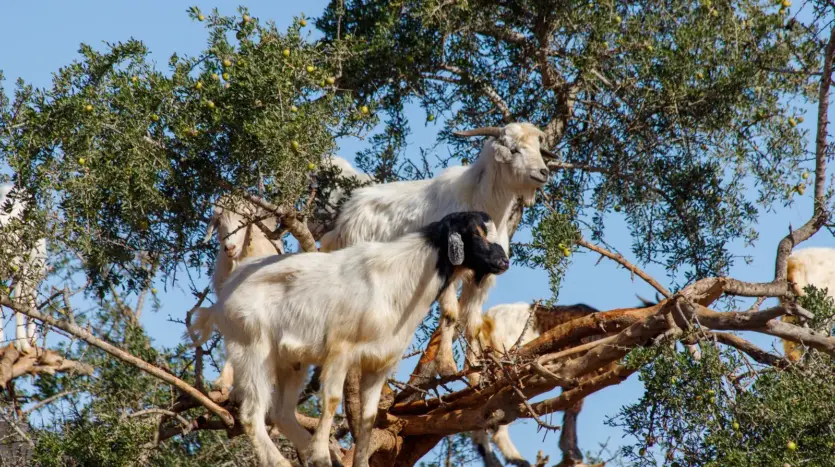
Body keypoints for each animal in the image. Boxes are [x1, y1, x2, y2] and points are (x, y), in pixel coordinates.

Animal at [0, 184, 47, 353]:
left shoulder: (21, 267)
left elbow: (18, 305)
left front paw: (23, 344)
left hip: (35, 265)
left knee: (30, 298)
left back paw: (31, 339)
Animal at [190, 211, 510, 467]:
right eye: (475, 233)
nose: (503, 261)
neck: (400, 278)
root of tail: (221, 301)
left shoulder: (380, 363)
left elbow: (368, 417)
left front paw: (353, 460)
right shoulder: (340, 351)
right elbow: (331, 399)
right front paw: (320, 452)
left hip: (290, 361)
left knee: (281, 413)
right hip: (252, 348)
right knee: (251, 415)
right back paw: (284, 460)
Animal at [320, 123, 553, 375]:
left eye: (538, 148)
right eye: (514, 149)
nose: (543, 173)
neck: (480, 201)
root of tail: (344, 220)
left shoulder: (483, 276)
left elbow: (473, 324)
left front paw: (475, 373)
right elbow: (451, 315)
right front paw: (446, 365)